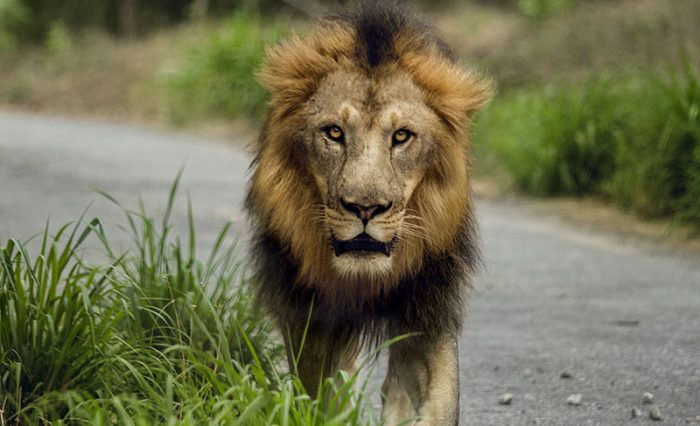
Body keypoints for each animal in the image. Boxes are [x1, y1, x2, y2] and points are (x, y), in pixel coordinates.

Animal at [246, 2, 491, 425]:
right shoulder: (311, 320)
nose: (365, 208)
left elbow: (437, 403)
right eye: (334, 132)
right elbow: (322, 397)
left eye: (402, 136)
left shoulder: (426, 309)